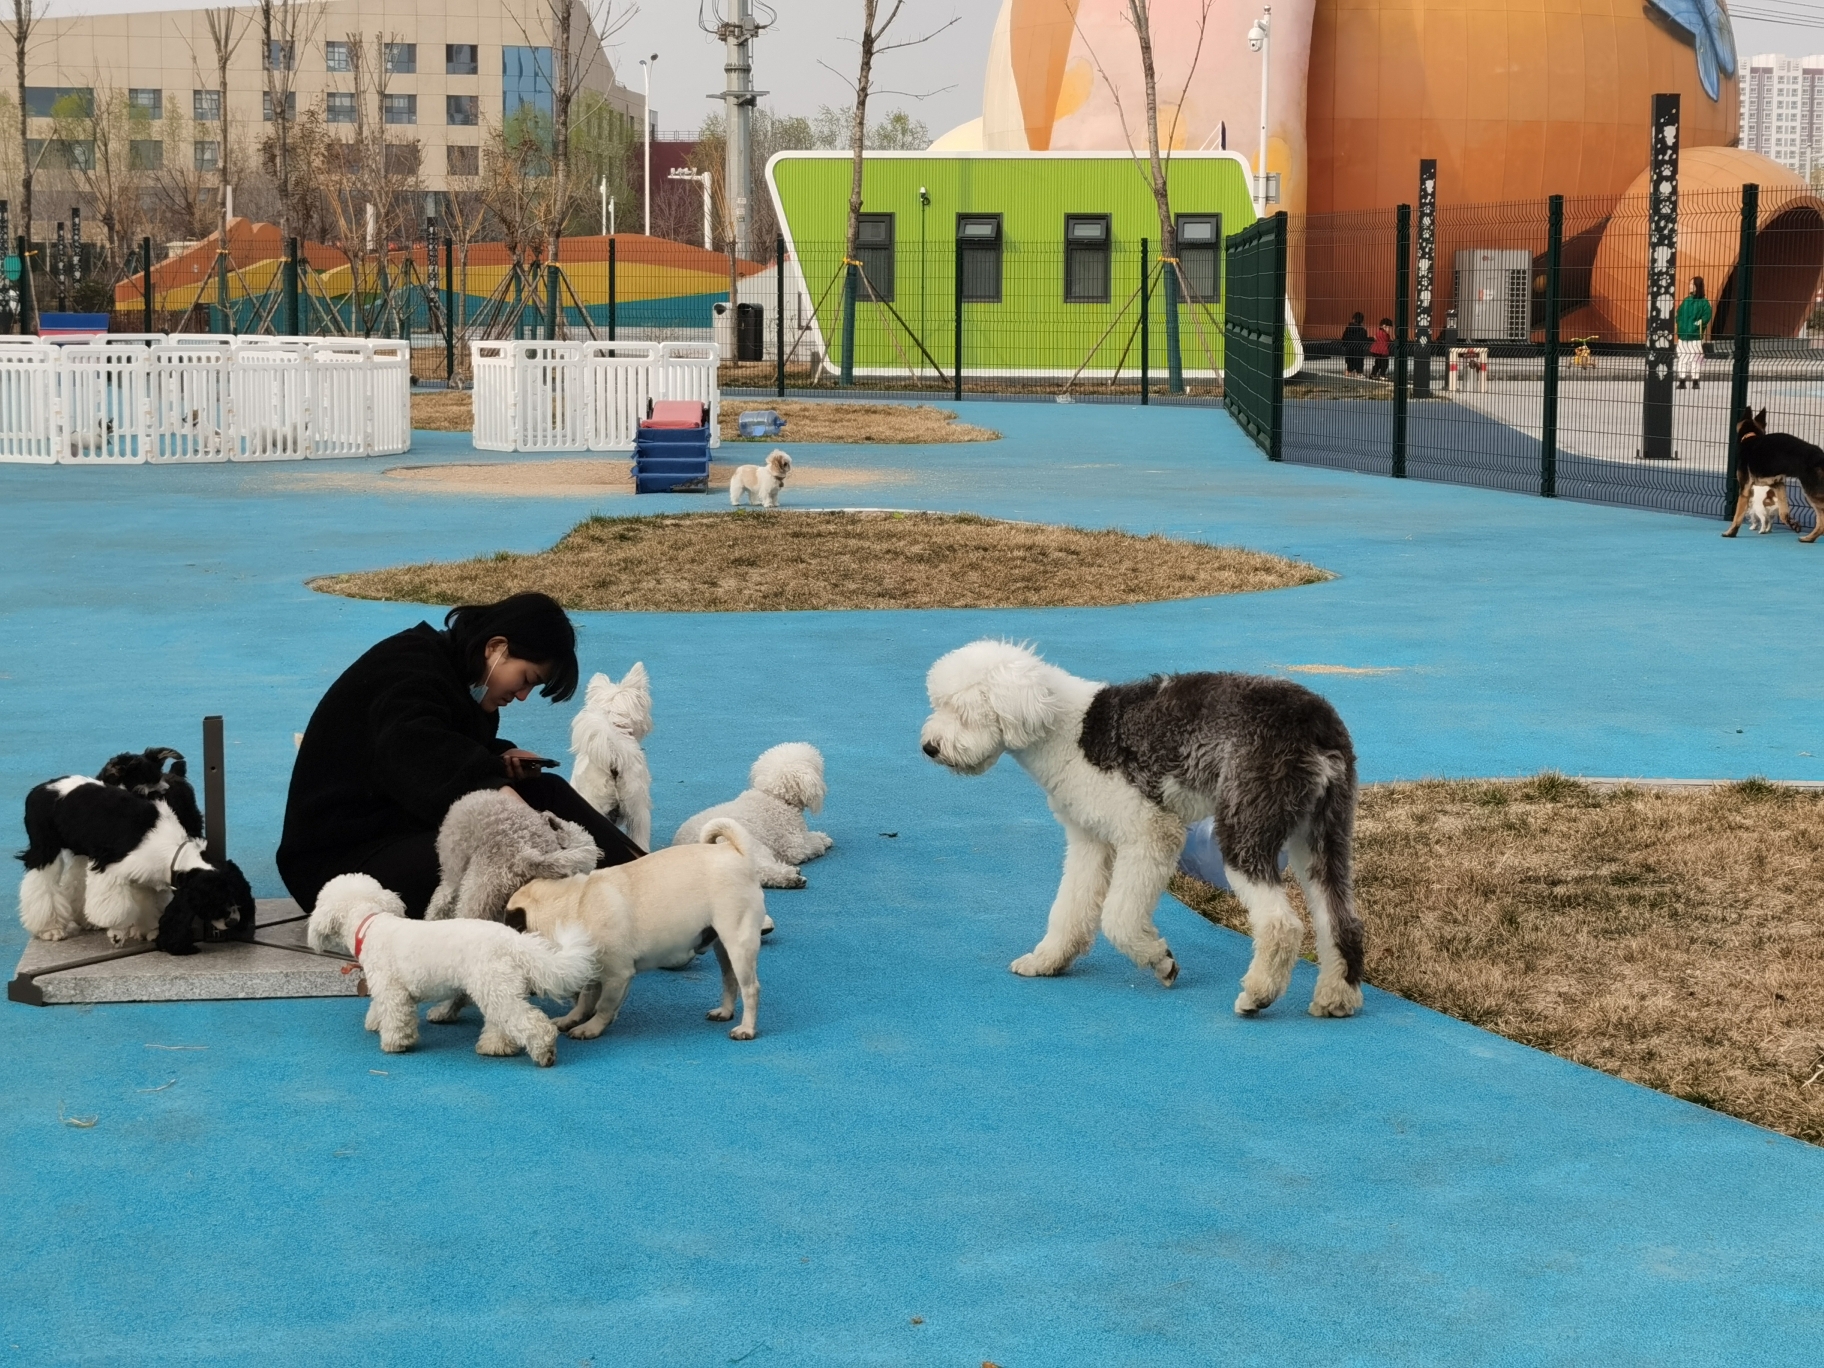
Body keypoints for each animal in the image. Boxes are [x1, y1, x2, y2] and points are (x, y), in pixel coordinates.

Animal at [16, 777, 257, 955]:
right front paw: (117, 933)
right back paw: (50, 928)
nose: (234, 920)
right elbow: (117, 907)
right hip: (45, 849)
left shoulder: (144, 874)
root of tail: (41, 787)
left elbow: (148, 903)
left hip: (81, 851)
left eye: (237, 897)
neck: (171, 850)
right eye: (215, 902)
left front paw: (148, 930)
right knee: (41, 883)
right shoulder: (110, 869)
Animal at [308, 879, 598, 1072]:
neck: (369, 923)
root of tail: (514, 941)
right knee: (502, 1021)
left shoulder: (392, 990)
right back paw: (495, 1047)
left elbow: (396, 1018)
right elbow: (379, 1008)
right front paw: (374, 1022)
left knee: (532, 1023)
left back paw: (545, 1052)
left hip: (494, 985)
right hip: (498, 987)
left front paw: (395, 1043)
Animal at [674, 744, 835, 893]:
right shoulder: (794, 846)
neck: (775, 797)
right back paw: (790, 877)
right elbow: (810, 844)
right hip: (752, 846)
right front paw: (822, 840)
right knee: (761, 870)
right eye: (819, 768)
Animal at [1721, 406, 1824, 539]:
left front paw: (1731, 532)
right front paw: (1792, 524)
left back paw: (1810, 538)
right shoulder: (1778, 484)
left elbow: (1737, 515)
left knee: (1821, 519)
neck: (1751, 437)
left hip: (1812, 492)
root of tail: (1820, 455)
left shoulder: (1744, 490)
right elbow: (1783, 512)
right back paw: (1810, 538)